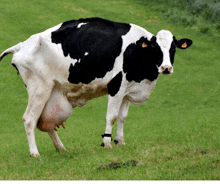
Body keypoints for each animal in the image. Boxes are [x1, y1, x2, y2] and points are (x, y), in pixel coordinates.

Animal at [0, 17, 192, 156]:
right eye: (155, 48)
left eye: (173, 49)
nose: (166, 68)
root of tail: (20, 46)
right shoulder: (116, 86)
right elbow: (112, 116)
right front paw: (107, 143)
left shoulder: (127, 89)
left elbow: (122, 117)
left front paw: (120, 141)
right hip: (39, 87)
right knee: (29, 119)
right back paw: (35, 153)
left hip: (51, 91)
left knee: (45, 122)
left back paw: (61, 148)